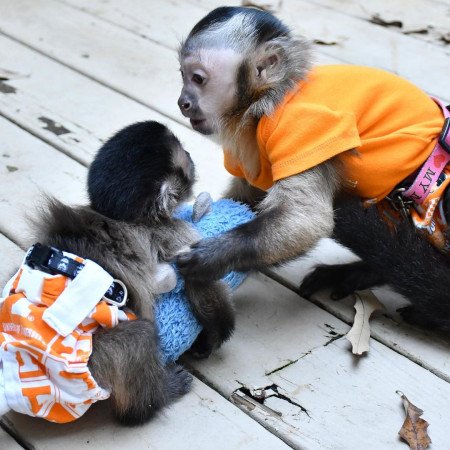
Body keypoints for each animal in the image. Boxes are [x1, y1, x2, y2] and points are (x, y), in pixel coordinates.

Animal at [176, 5, 450, 332]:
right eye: (182, 76)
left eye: (198, 78)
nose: (182, 101)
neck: (270, 99)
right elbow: (247, 199)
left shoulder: (303, 130)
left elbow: (306, 220)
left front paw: (214, 256)